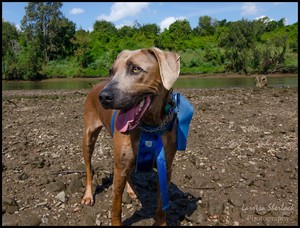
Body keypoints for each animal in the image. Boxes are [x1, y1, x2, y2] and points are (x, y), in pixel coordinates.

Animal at [81, 47, 182, 225]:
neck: (151, 126)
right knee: (88, 169)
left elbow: (161, 205)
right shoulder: (120, 165)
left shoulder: (166, 166)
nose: (103, 97)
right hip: (88, 138)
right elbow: (116, 206)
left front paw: (161, 222)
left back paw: (131, 190)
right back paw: (88, 195)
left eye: (136, 69)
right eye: (111, 71)